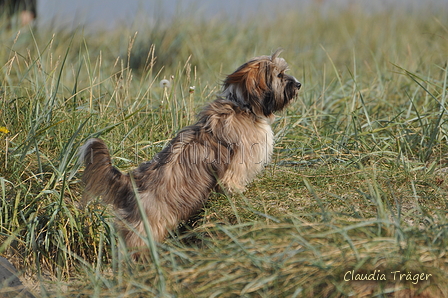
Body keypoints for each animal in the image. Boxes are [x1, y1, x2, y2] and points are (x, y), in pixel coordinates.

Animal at [80, 50, 300, 250]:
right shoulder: (237, 163)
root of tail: (130, 181)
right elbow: (232, 181)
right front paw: (239, 193)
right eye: (280, 75)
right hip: (146, 225)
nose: (298, 84)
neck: (241, 105)